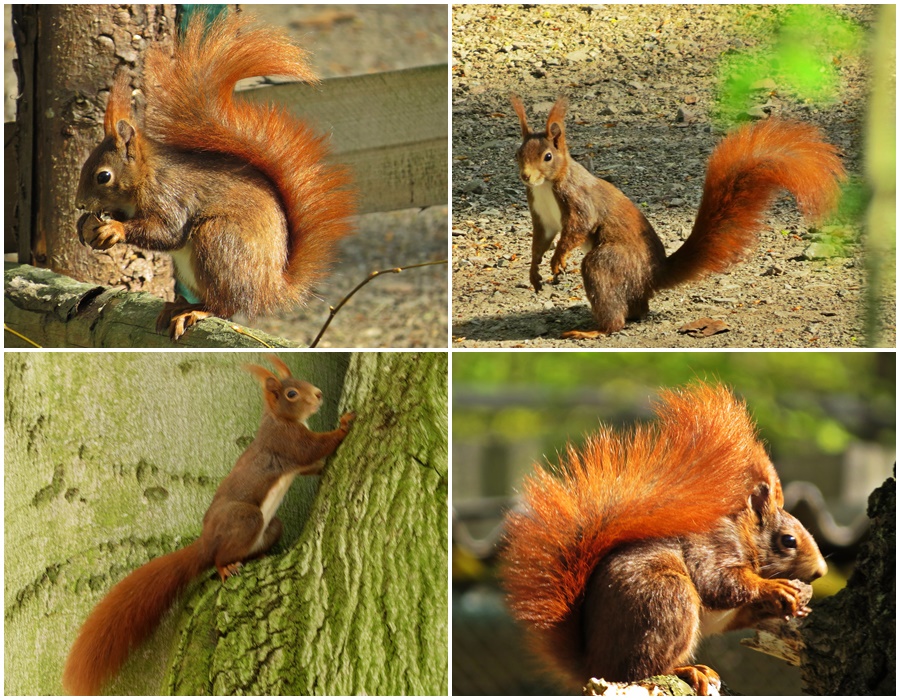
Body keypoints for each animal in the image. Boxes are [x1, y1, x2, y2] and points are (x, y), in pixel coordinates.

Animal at [60, 356, 352, 696]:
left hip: (271, 527)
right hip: (246, 519)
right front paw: (344, 425)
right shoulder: (287, 443)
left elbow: (311, 466)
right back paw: (226, 567)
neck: (279, 418)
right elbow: (315, 448)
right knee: (218, 559)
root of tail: (206, 542)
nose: (318, 395)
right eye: (292, 394)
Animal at [75, 10, 356, 340]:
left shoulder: (171, 195)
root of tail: (270, 288)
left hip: (218, 241)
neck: (147, 175)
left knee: (226, 305)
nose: (79, 204)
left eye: (103, 176)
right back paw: (178, 306)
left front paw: (114, 229)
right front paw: (87, 224)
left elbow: (166, 232)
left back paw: (195, 311)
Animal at [502, 382, 828, 696]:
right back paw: (687, 670)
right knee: (642, 669)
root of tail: (594, 664)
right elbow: (720, 585)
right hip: (666, 600)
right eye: (788, 541)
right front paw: (774, 587)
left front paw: (798, 604)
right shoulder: (713, 550)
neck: (744, 538)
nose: (821, 571)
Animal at [510, 96, 848, 340]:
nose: (526, 177)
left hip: (609, 261)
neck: (547, 186)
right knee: (636, 310)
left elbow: (577, 227)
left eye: (548, 157)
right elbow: (540, 241)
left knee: (612, 306)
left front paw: (558, 260)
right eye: (517, 154)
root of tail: (652, 276)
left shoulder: (579, 200)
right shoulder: (542, 217)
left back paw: (593, 330)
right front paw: (535, 273)